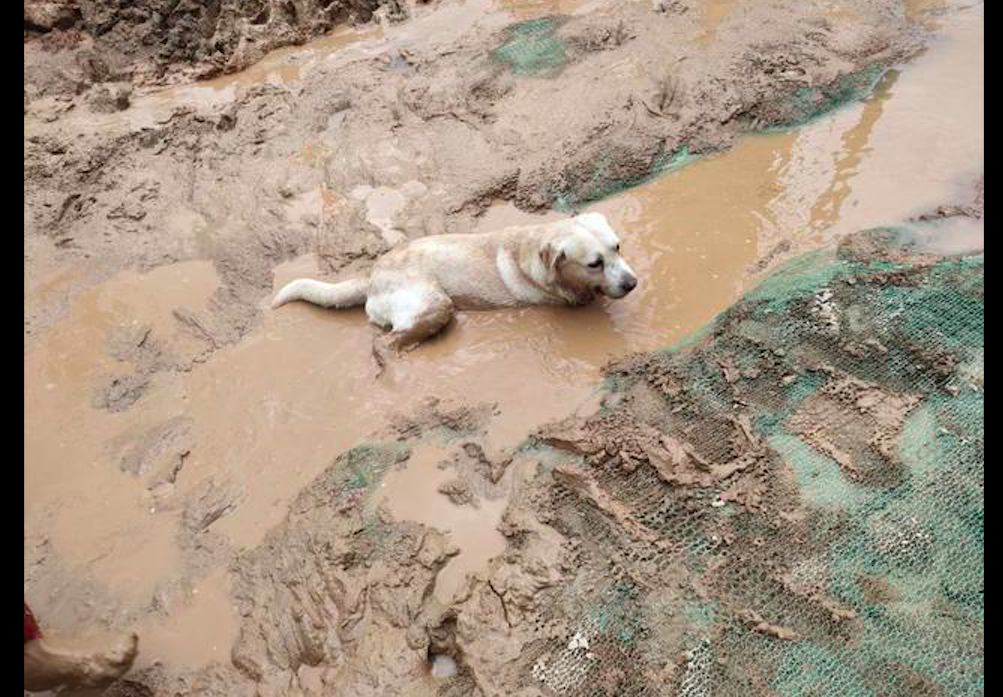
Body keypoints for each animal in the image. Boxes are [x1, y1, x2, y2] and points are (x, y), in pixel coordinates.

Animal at [270, 211, 637, 355]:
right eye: (594, 263)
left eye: (618, 247)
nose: (632, 283)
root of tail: (372, 274)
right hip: (435, 304)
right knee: (387, 342)